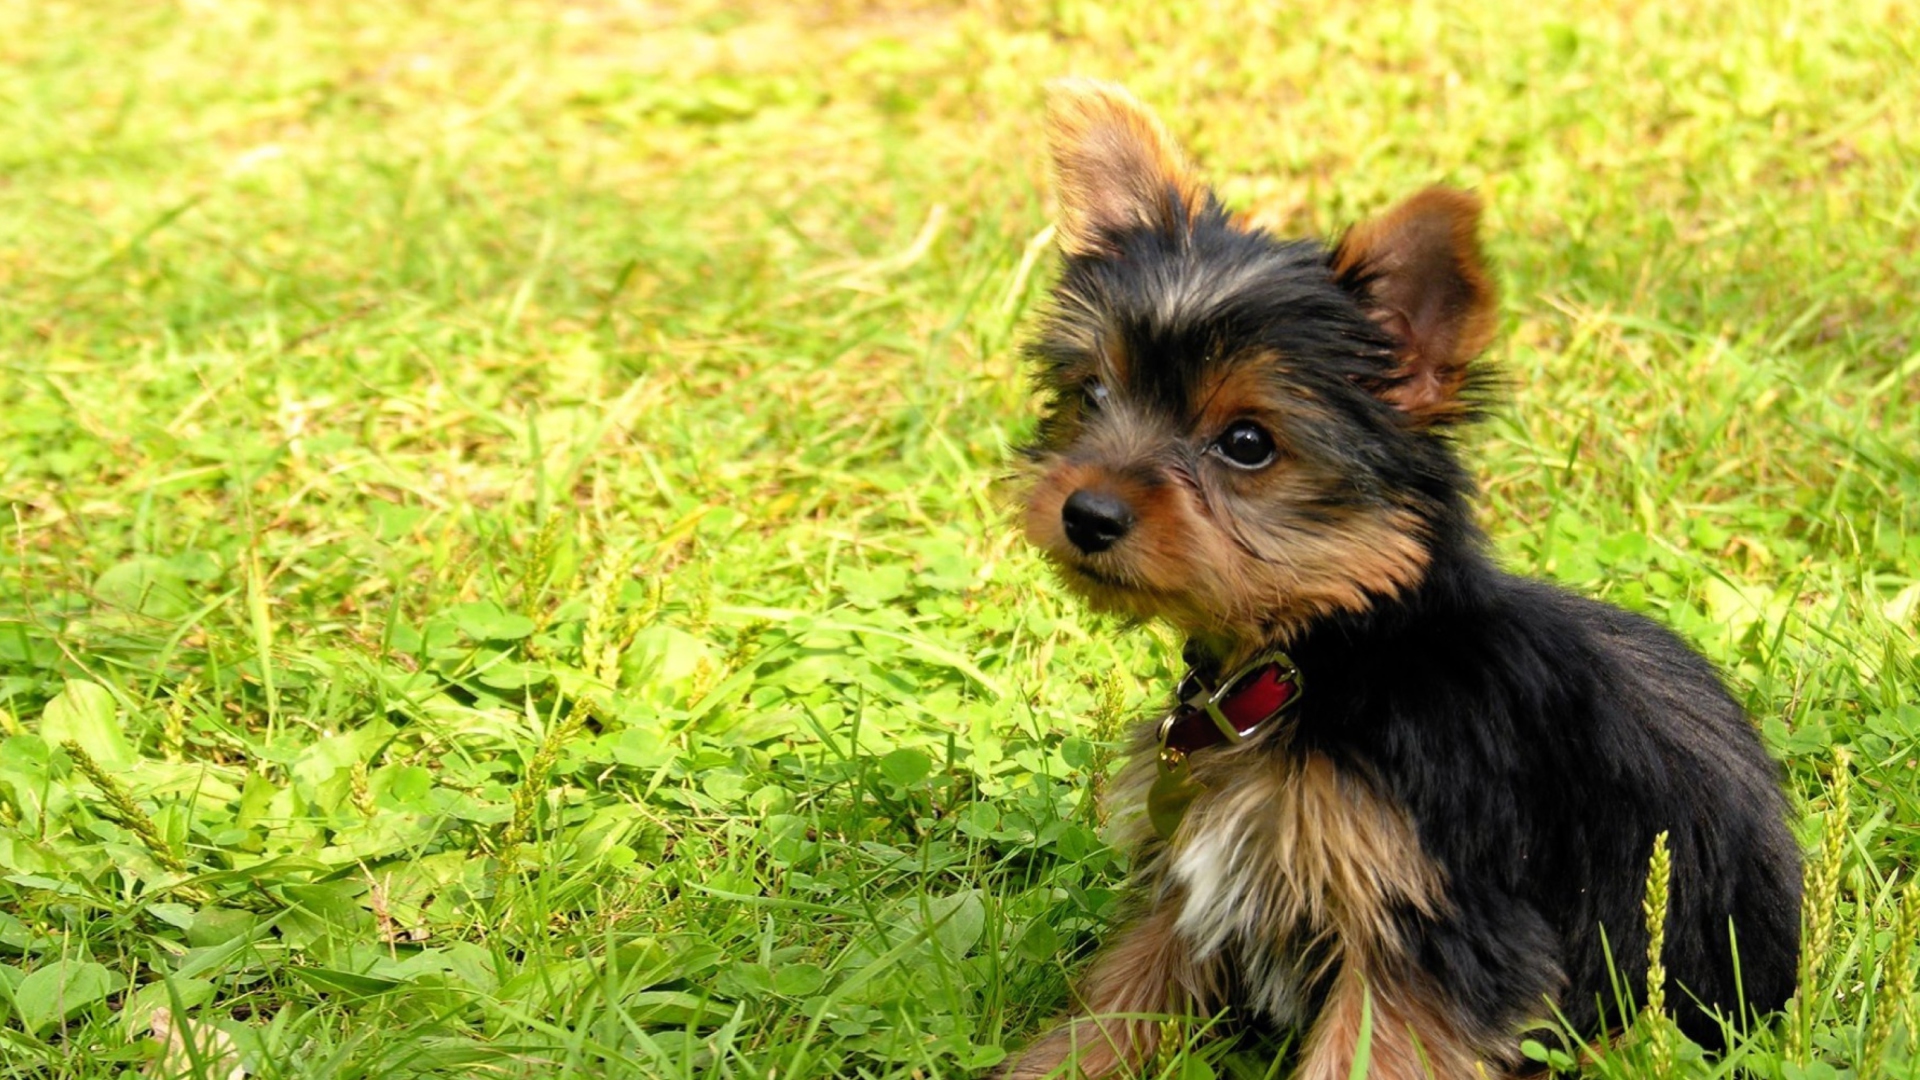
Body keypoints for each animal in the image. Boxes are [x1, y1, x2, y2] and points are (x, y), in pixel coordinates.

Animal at [1006, 79, 1797, 1068]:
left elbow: (1367, 1050)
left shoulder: (1435, 927)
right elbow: (1115, 1008)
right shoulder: (1190, 888)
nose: (1087, 513)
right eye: (1092, 395)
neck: (1327, 655)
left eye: (1247, 444)